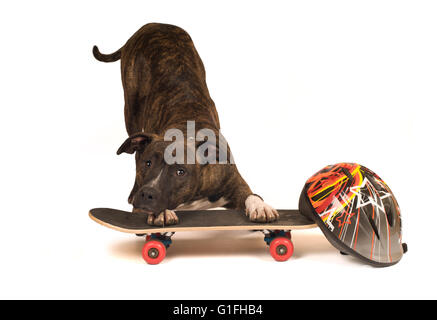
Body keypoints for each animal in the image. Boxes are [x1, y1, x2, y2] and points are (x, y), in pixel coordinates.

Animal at [92, 22, 278, 226]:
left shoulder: (235, 184)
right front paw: (163, 213)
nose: (147, 193)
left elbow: (252, 195)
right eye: (148, 163)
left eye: (180, 172)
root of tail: (152, 25)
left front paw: (260, 206)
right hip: (131, 107)